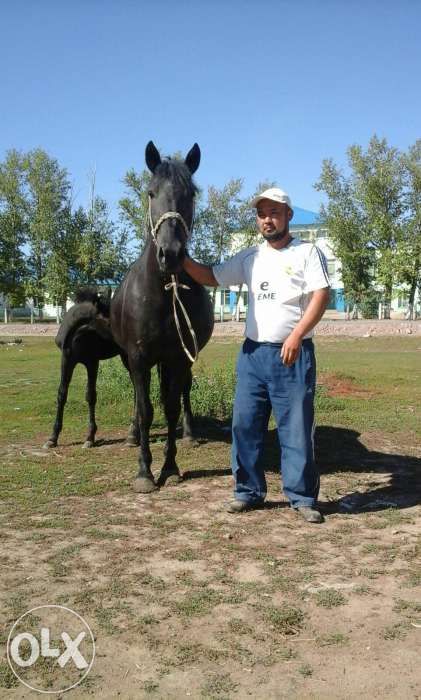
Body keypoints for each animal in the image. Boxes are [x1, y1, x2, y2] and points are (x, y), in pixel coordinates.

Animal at [110, 141, 213, 492]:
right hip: (131, 359)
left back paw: (191, 434)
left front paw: (169, 465)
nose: (170, 254)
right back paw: (131, 435)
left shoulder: (179, 357)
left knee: (180, 393)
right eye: (151, 192)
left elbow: (169, 407)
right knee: (138, 399)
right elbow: (145, 410)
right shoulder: (138, 357)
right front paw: (144, 471)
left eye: (191, 194)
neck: (164, 291)